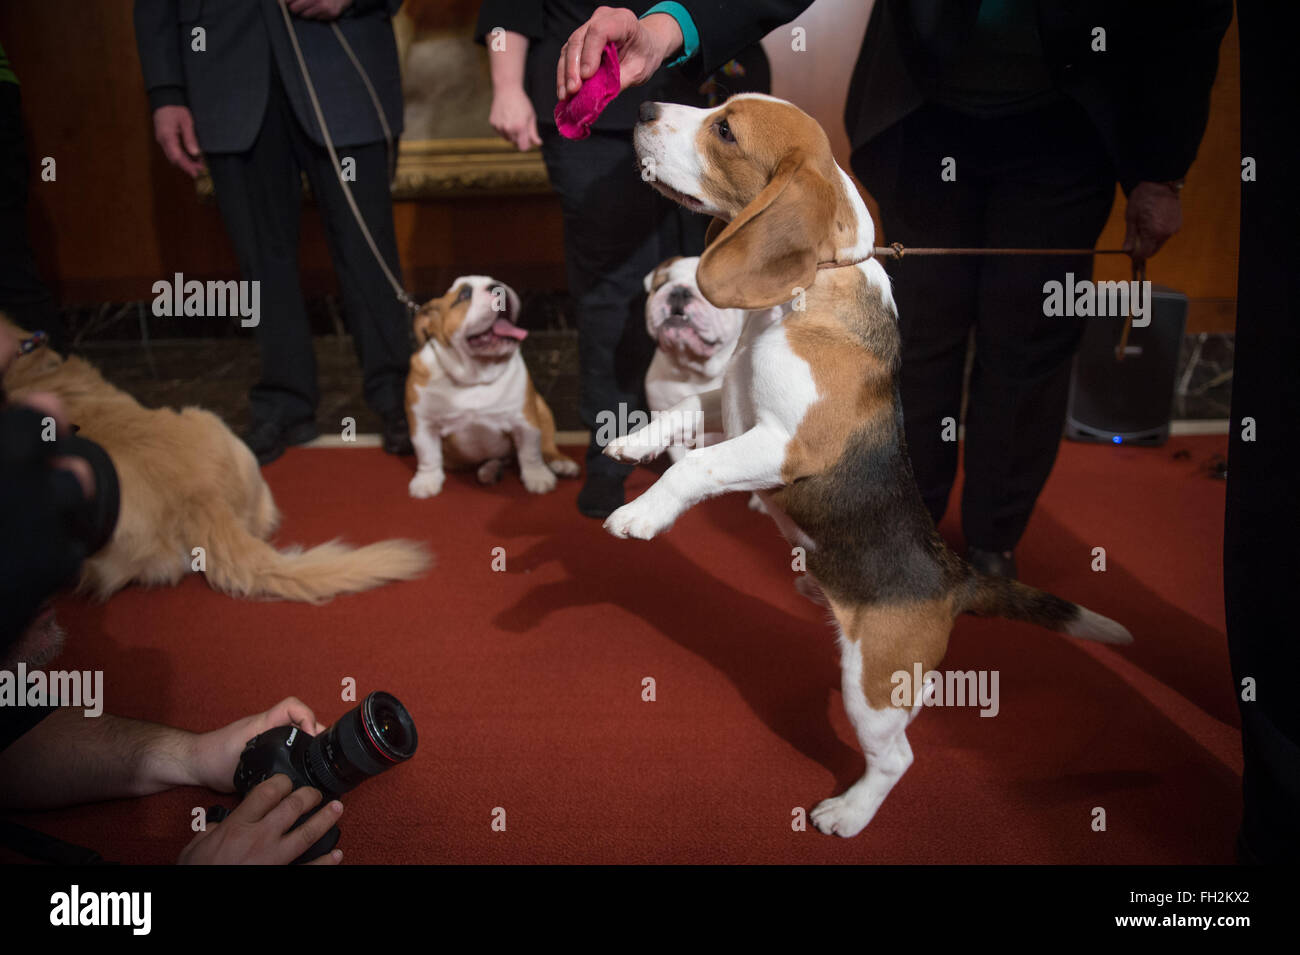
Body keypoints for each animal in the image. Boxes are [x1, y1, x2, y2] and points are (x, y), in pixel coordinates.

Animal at [400, 276, 574, 501]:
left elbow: (530, 452)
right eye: (464, 294)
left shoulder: (525, 421)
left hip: (542, 407)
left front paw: (537, 476)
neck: (475, 374)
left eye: (497, 280)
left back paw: (559, 462)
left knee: (545, 444)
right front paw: (426, 480)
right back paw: (489, 470)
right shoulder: (423, 423)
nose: (497, 287)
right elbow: (427, 454)